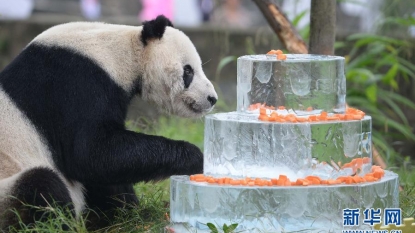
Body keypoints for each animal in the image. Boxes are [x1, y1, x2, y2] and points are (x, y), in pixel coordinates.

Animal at [0, 15, 216, 230]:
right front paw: (196, 158)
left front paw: (127, 209)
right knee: (41, 187)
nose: (212, 98)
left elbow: (108, 168)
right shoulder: (76, 83)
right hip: (8, 188)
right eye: (188, 71)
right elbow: (92, 152)